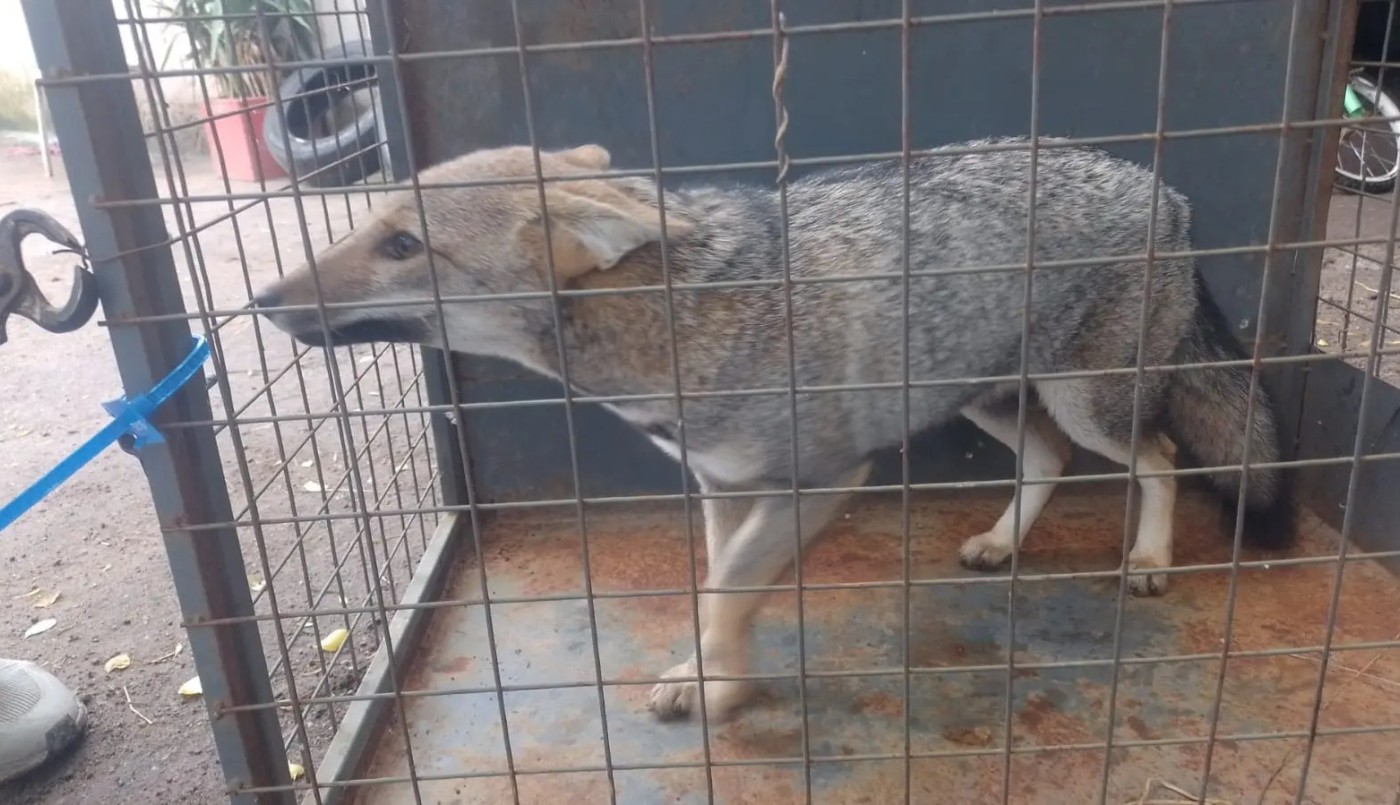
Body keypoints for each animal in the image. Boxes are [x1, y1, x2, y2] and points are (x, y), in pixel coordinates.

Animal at [255, 139, 1295, 722]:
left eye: (402, 245)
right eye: (368, 226)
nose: (261, 299)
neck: (682, 321)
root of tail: (1158, 185)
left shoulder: (827, 479)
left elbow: (725, 596)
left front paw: (720, 692)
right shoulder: (724, 486)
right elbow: (721, 593)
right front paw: (713, 676)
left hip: (1085, 399)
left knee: (1158, 456)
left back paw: (1150, 558)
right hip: (982, 398)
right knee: (1051, 456)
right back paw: (1003, 540)